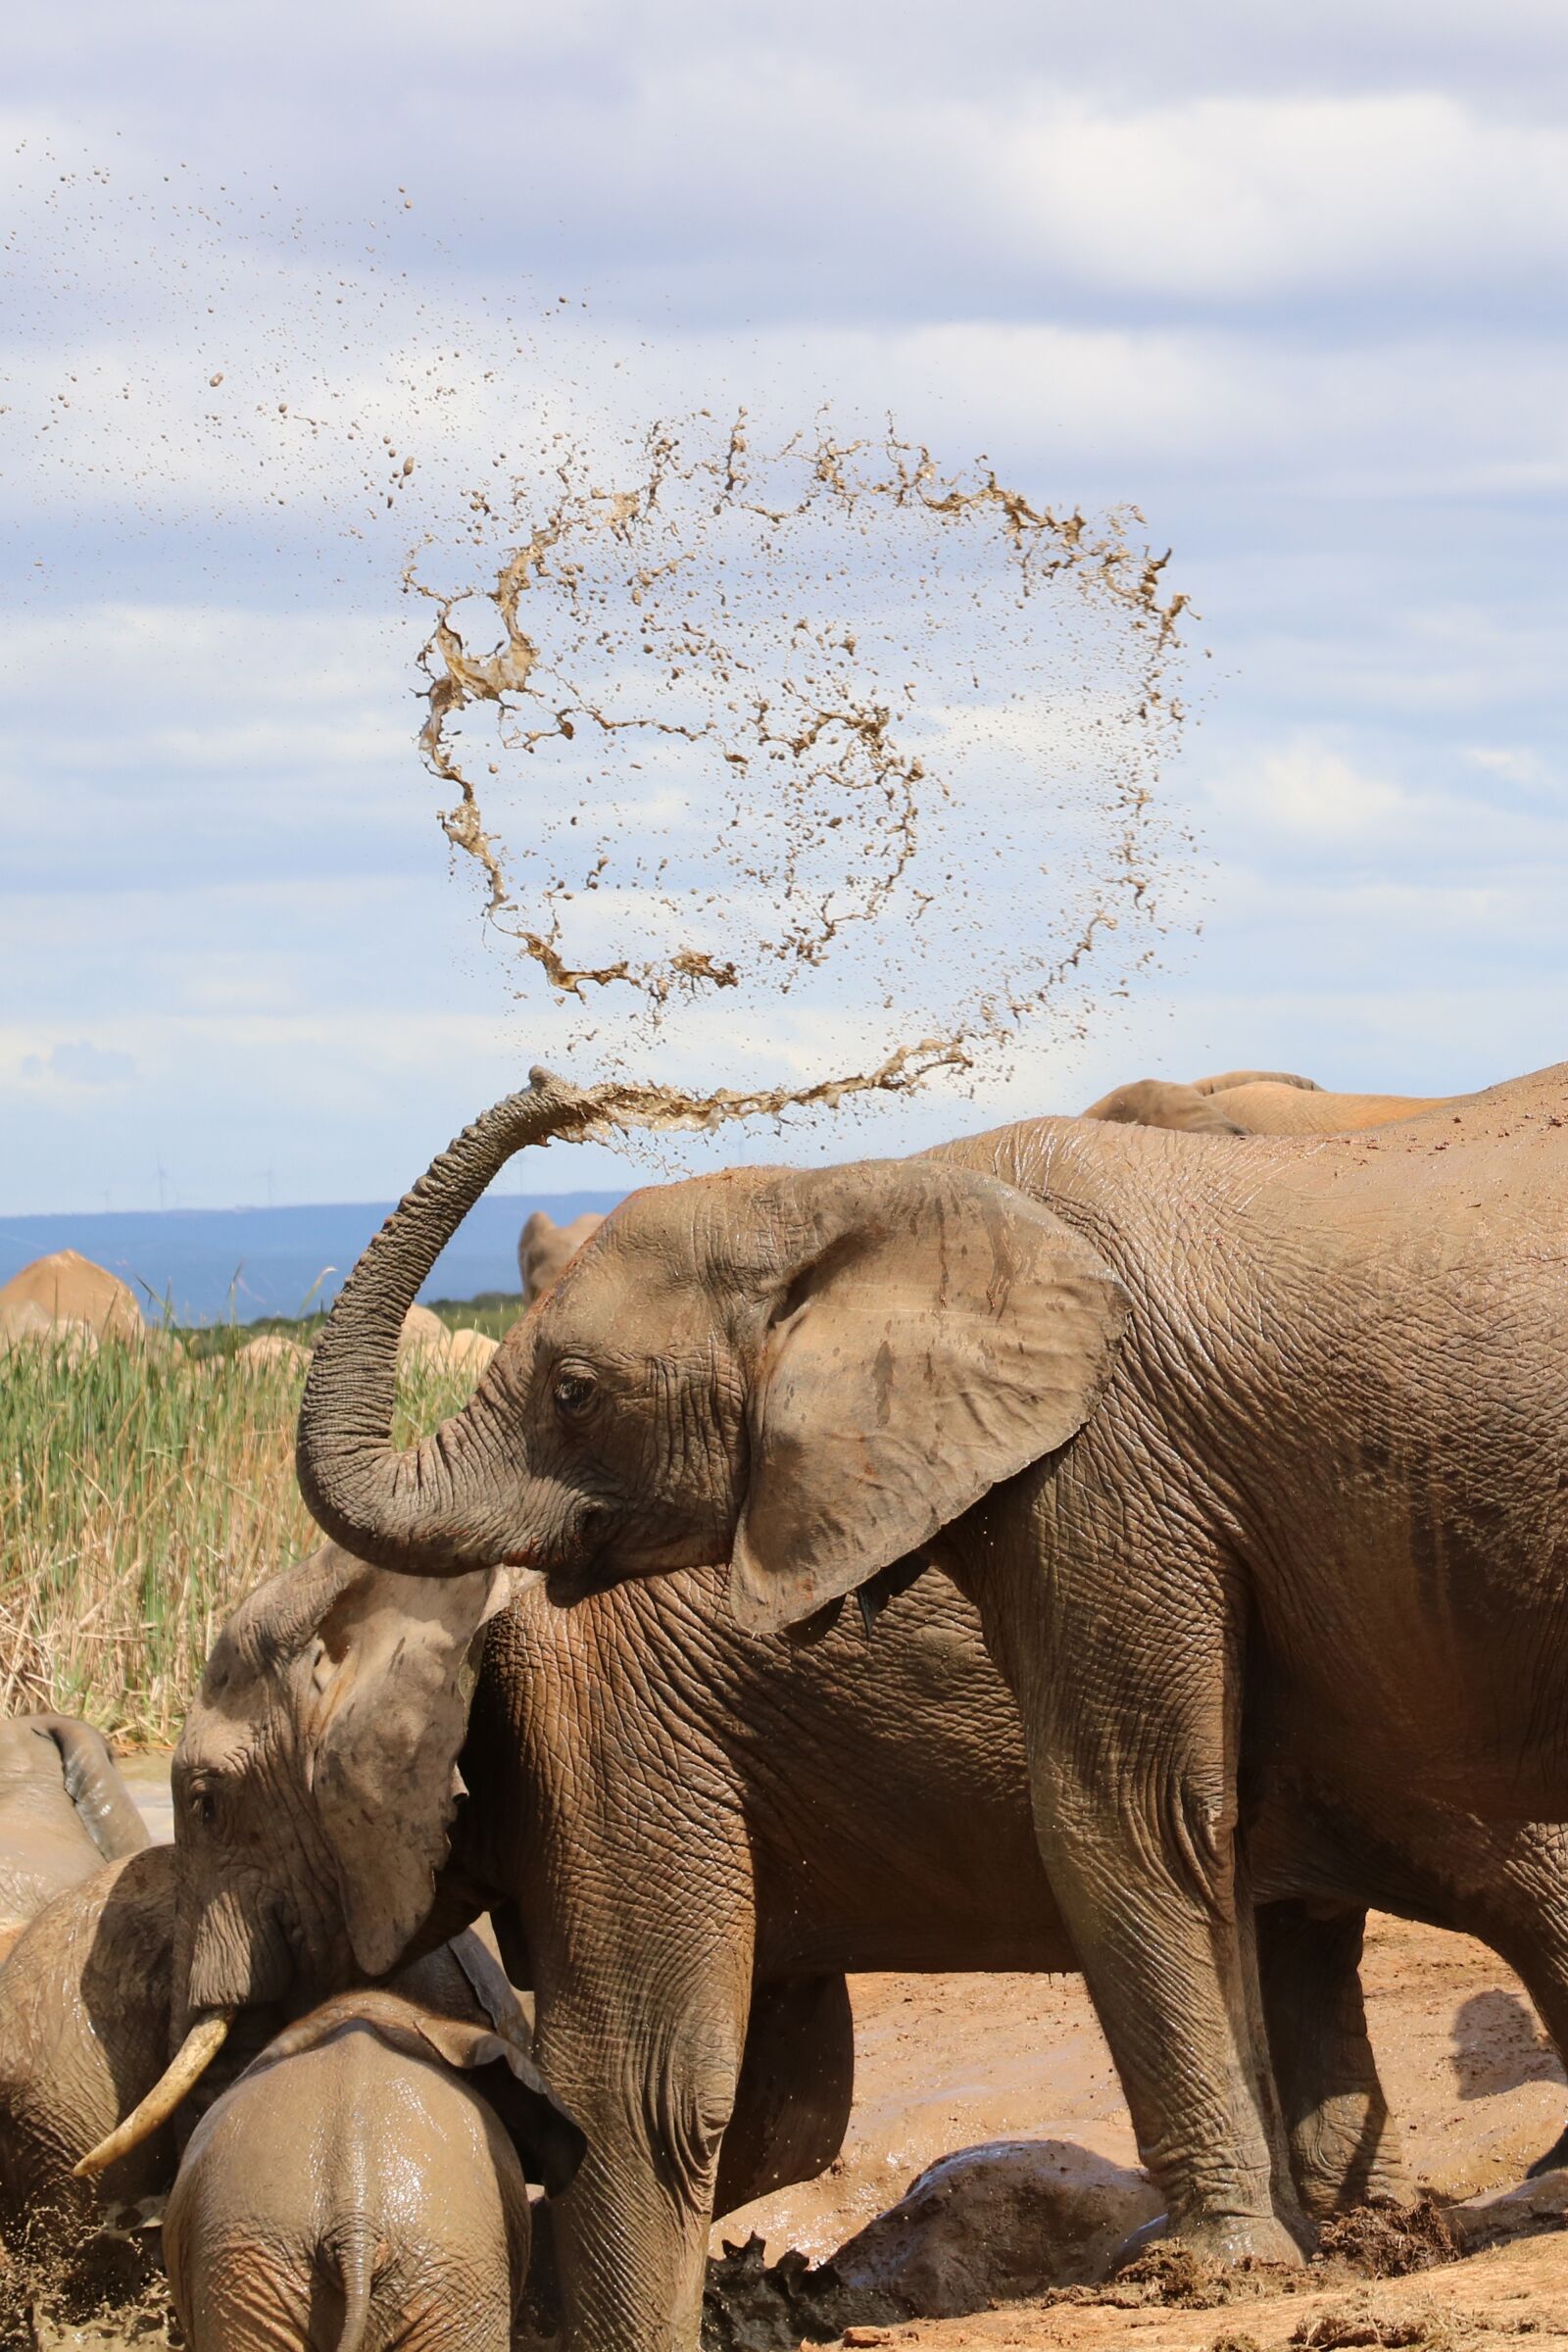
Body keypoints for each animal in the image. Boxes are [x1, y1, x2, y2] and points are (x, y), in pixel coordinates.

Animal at [267, 1059, 1568, 2272]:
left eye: (574, 1394)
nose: (559, 1086)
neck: (874, 1189)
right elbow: (1210, 1833)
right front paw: (1287, 2247)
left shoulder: (1107, 1461)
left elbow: (1121, 1817)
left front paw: (1209, 2269)